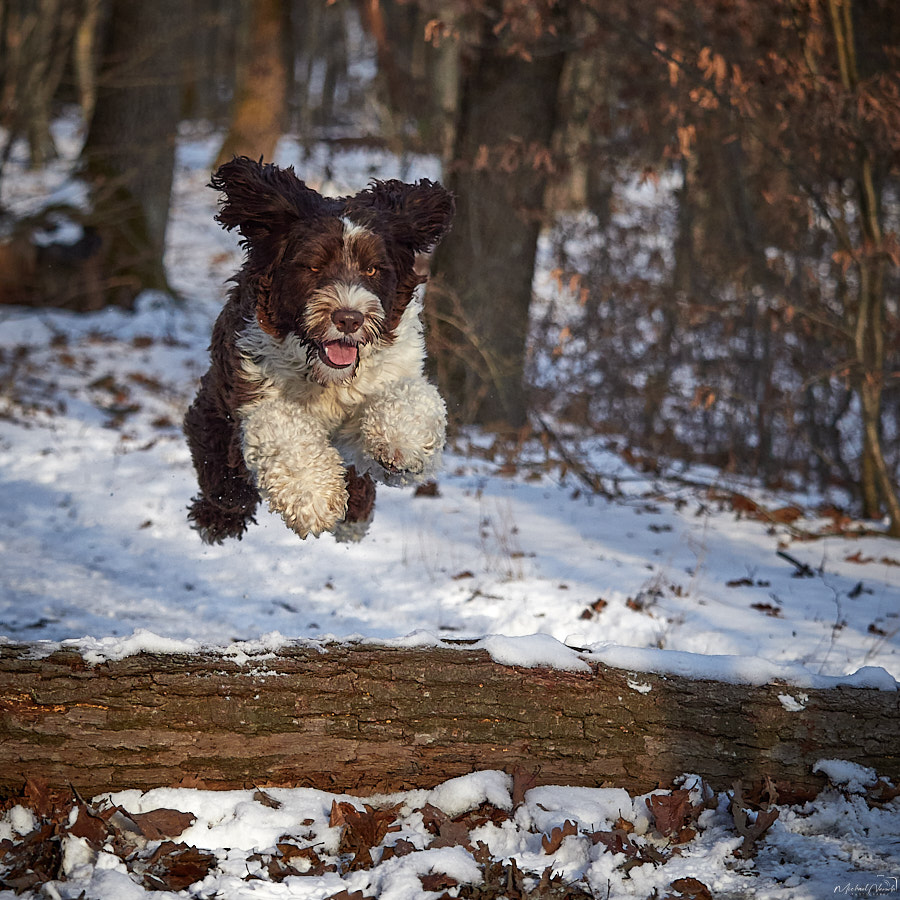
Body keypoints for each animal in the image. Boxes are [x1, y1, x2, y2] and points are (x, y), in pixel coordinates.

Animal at [183, 156, 454, 540]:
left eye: (372, 270)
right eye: (313, 266)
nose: (349, 319)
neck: (326, 378)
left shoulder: (393, 372)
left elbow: (412, 398)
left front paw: (402, 444)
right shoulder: (253, 386)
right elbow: (284, 427)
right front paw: (315, 497)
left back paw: (355, 514)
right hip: (215, 407)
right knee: (222, 470)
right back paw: (220, 512)